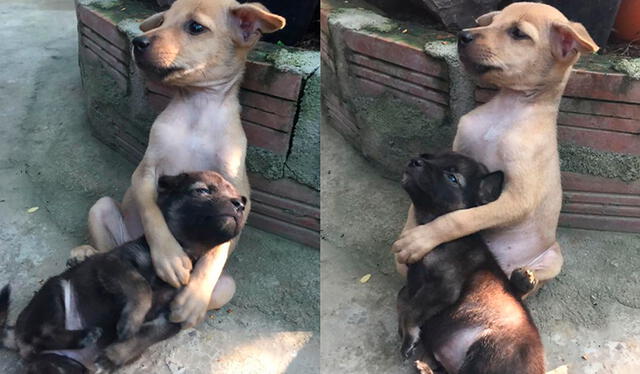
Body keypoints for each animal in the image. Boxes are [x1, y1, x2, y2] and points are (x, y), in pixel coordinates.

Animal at [0, 171, 246, 372]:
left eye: (238, 198)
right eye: (202, 191)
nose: (240, 205)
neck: (187, 249)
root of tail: (14, 334)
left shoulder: (169, 318)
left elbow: (141, 338)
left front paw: (113, 357)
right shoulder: (114, 263)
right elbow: (141, 286)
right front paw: (131, 321)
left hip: (59, 366)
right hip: (54, 293)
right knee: (39, 334)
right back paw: (85, 335)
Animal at [70, 0, 284, 328]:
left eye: (196, 27)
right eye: (162, 21)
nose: (138, 42)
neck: (198, 108)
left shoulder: (238, 194)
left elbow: (216, 251)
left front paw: (193, 296)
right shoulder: (145, 172)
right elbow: (151, 212)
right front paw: (170, 257)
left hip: (226, 287)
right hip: (102, 209)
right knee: (106, 253)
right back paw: (85, 253)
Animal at [392, 2, 596, 286]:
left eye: (518, 33)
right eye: (492, 22)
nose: (463, 35)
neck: (506, 110)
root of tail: (501, 266)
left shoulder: (517, 198)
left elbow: (463, 218)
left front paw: (421, 239)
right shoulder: (459, 152)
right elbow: (419, 204)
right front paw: (413, 227)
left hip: (554, 259)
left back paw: (524, 279)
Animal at [398, 152, 544, 374]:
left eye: (452, 178)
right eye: (427, 156)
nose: (415, 161)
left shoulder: (444, 286)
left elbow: (411, 309)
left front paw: (408, 337)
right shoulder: (414, 283)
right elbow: (403, 299)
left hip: (488, 350)